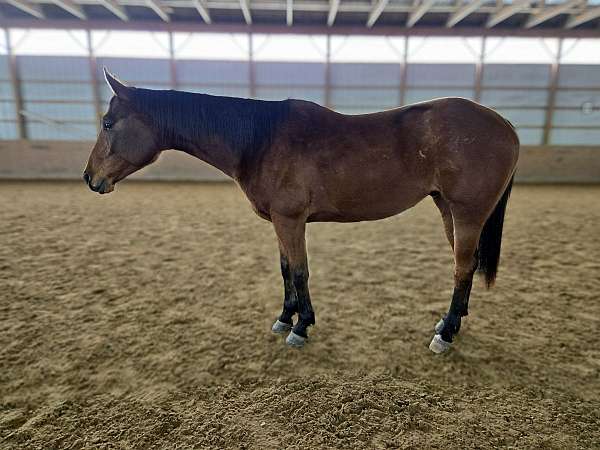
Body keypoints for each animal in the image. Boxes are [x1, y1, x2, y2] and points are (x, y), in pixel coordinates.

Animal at [84, 68, 520, 354]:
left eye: (108, 123)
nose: (90, 178)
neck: (260, 140)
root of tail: (505, 126)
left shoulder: (291, 220)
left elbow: (299, 271)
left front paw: (302, 327)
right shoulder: (280, 223)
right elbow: (284, 271)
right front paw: (284, 318)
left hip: (466, 213)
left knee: (462, 268)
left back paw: (445, 335)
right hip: (448, 209)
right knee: (467, 266)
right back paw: (451, 324)